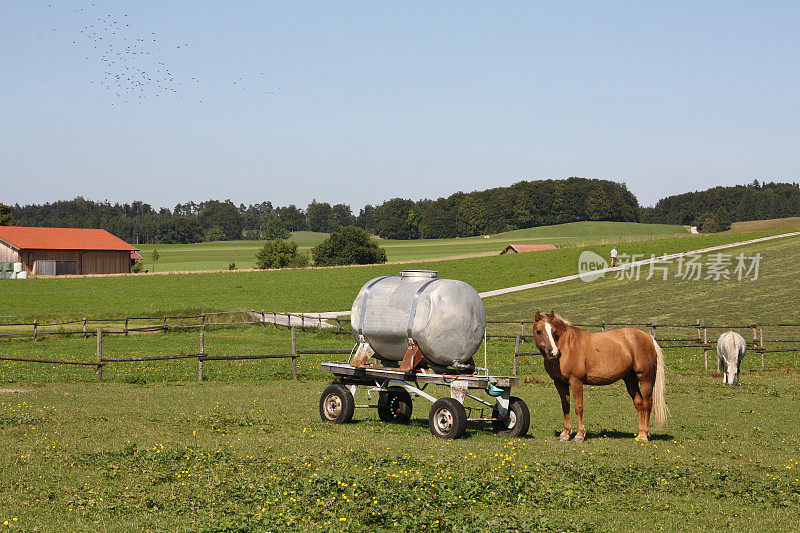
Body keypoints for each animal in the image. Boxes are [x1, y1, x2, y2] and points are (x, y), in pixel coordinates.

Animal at [536, 310, 664, 442]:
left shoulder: (576, 381)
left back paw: (644, 436)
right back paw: (640, 433)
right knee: (639, 403)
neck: (567, 345)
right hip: (630, 379)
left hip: (645, 379)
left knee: (647, 404)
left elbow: (578, 407)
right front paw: (565, 434)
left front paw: (579, 435)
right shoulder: (559, 383)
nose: (553, 352)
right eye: (539, 331)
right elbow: (565, 406)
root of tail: (649, 338)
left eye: (554, 331)